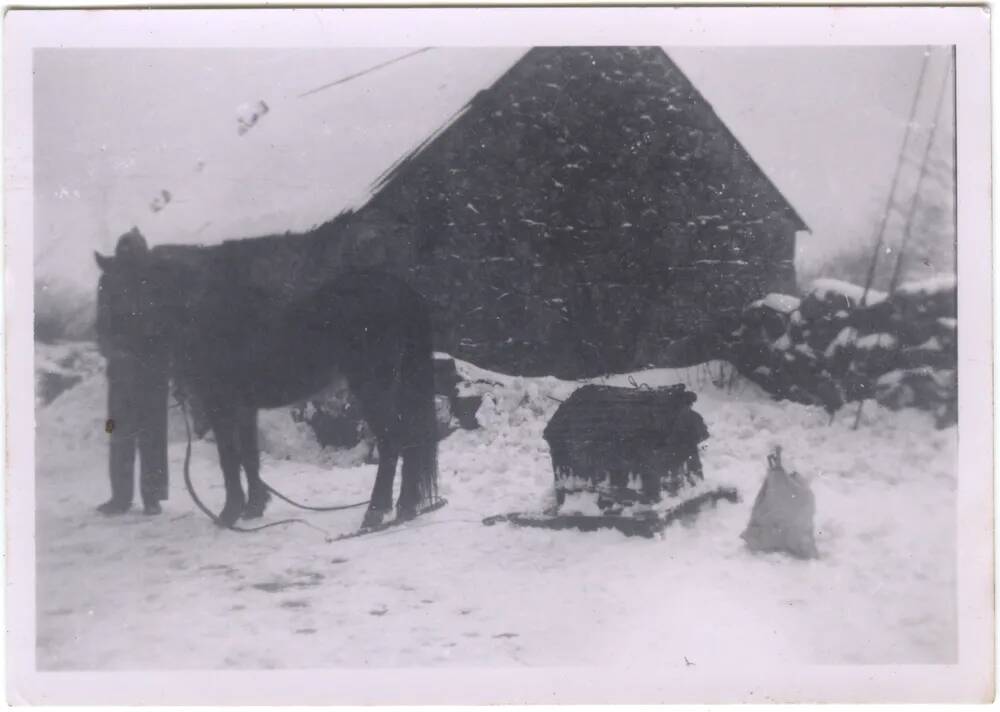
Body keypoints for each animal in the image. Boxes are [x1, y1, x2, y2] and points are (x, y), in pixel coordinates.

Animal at [95, 222, 440, 528]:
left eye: (120, 289)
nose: (108, 345)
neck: (204, 313)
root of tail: (398, 289)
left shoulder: (220, 404)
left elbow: (229, 457)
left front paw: (229, 513)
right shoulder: (244, 407)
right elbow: (249, 456)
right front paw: (253, 508)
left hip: (372, 385)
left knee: (393, 442)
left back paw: (375, 512)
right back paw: (406, 508)